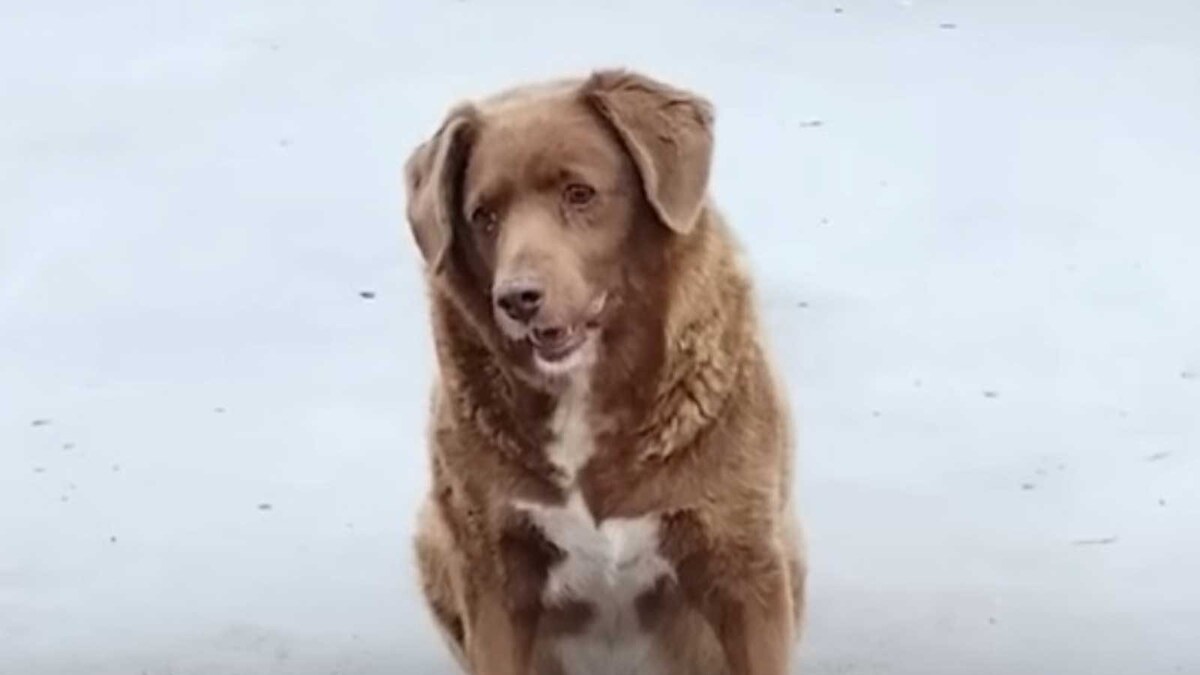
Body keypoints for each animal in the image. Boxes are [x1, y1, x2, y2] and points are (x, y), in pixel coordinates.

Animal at [405, 69, 806, 672]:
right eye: (484, 216)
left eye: (579, 194)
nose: (516, 299)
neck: (583, 392)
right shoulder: (494, 572)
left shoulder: (742, 559)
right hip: (435, 536)